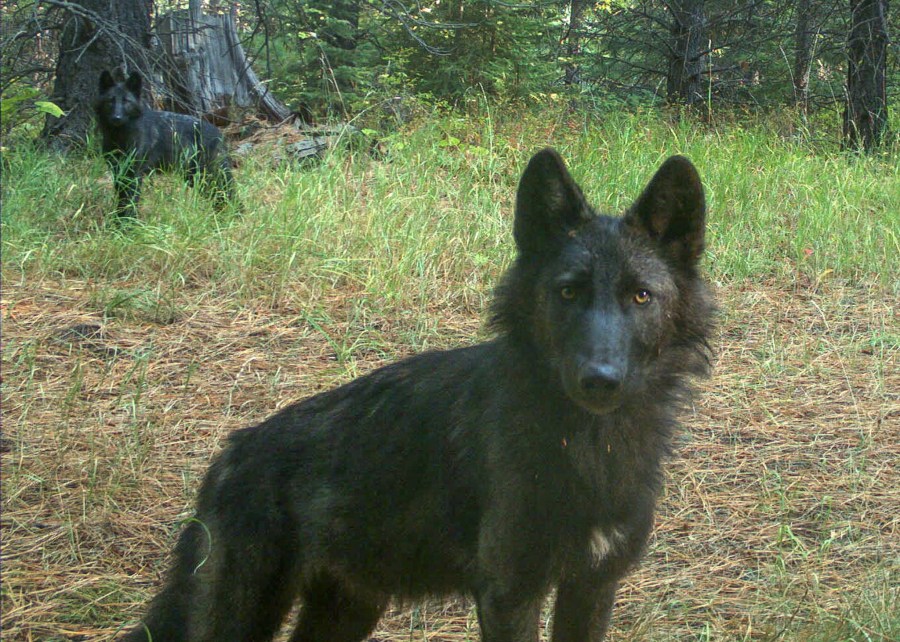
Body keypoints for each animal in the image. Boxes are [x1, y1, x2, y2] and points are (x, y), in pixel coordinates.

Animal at [94, 71, 234, 217]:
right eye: (110, 101)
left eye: (126, 101)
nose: (117, 118)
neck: (120, 137)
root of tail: (219, 133)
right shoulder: (118, 172)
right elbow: (122, 201)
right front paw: (118, 220)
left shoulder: (134, 174)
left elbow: (130, 201)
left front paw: (128, 221)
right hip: (194, 177)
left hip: (208, 175)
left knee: (227, 194)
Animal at [122, 149, 715, 641]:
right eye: (569, 292)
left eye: (641, 296)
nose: (600, 379)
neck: (592, 448)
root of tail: (232, 450)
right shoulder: (509, 595)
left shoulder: (592, 588)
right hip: (245, 618)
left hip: (347, 612)